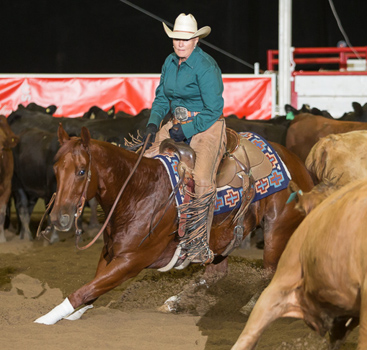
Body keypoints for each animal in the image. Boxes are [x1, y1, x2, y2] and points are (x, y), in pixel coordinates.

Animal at [33, 126, 314, 326]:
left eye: (82, 171)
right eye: (56, 169)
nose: (59, 218)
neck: (139, 191)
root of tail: (297, 163)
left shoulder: (131, 261)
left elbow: (84, 290)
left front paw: (45, 319)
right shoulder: (110, 253)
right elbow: (91, 288)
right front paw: (72, 315)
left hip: (277, 230)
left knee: (271, 271)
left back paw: (252, 305)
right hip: (221, 240)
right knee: (216, 274)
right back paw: (173, 302)